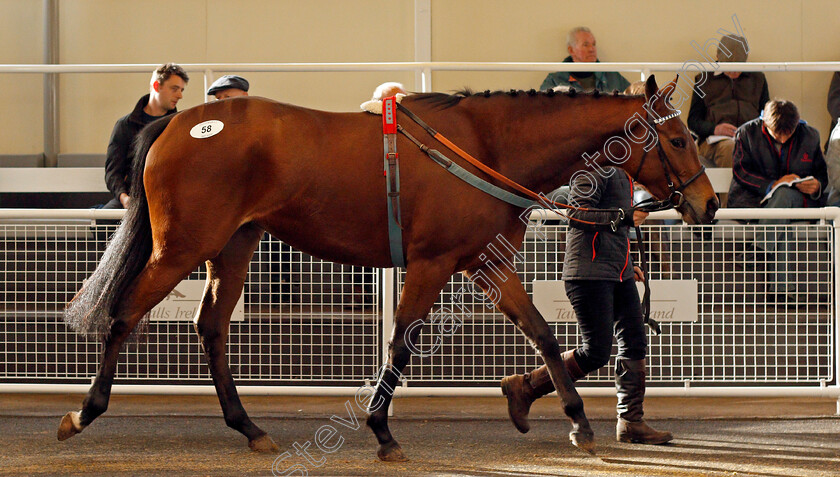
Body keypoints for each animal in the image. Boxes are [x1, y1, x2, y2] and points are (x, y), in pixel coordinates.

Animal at [57, 75, 716, 462]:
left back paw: (248, 427)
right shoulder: (429, 263)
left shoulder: (484, 264)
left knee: (212, 328)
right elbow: (400, 343)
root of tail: (178, 121)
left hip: (234, 245)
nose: (707, 204)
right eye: (677, 139)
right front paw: (381, 430)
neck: (484, 145)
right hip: (182, 246)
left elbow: (544, 334)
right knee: (124, 313)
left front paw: (573, 419)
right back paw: (83, 412)